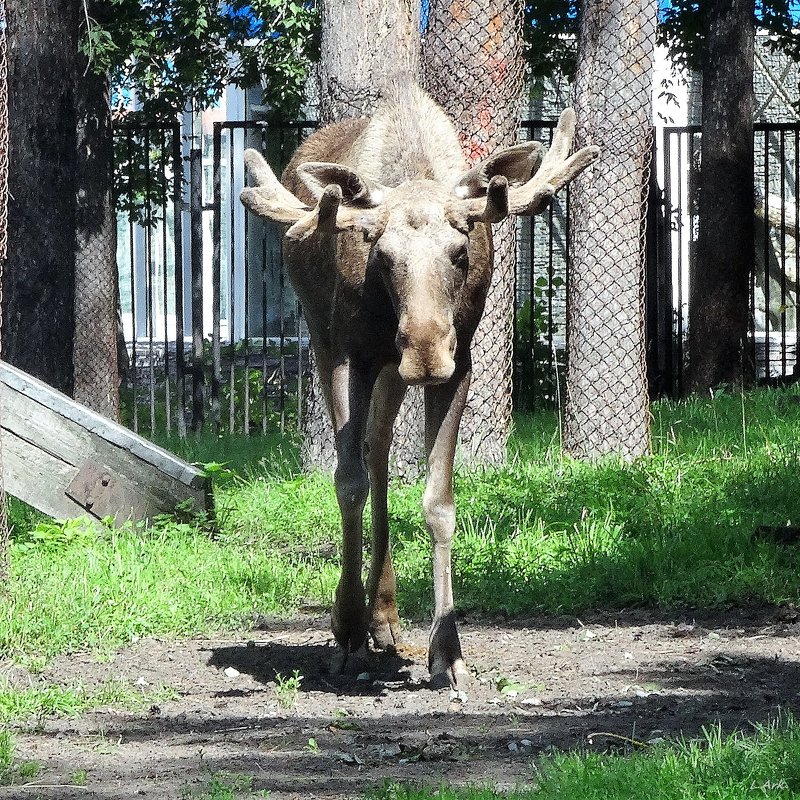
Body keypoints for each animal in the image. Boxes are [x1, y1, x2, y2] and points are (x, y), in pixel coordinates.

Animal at [241, 84, 596, 692]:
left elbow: (438, 502)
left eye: (459, 251)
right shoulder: (351, 353)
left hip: (391, 371)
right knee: (362, 456)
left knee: (379, 448)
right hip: (333, 344)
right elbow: (347, 483)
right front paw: (347, 631)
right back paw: (361, 622)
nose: (427, 351)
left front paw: (446, 651)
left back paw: (385, 616)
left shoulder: (460, 362)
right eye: (382, 255)